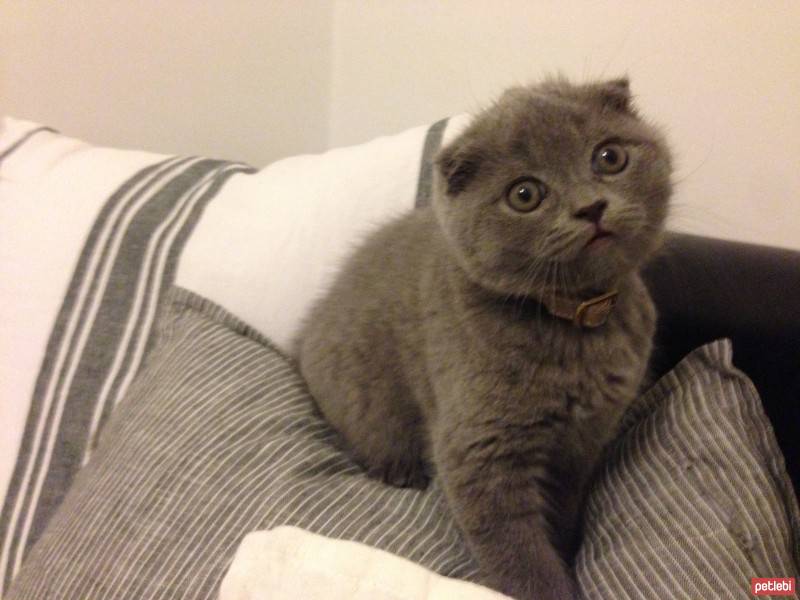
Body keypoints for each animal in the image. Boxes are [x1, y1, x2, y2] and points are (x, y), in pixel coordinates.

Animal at [294, 76, 668, 600]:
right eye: (525, 194)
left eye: (609, 157)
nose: (590, 207)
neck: (573, 322)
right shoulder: (481, 449)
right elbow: (518, 553)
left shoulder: (586, 440)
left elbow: (563, 508)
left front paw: (568, 547)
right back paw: (398, 470)